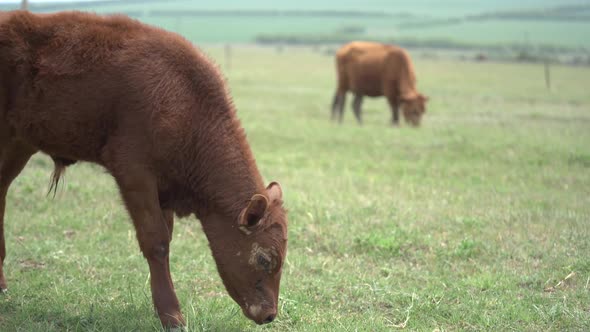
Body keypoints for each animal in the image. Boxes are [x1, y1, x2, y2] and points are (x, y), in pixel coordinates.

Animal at [0, 9, 286, 326]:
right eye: (264, 258)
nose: (270, 314)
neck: (185, 99)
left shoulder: (165, 190)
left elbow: (166, 239)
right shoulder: (135, 174)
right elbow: (156, 241)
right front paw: (172, 315)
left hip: (19, 144)